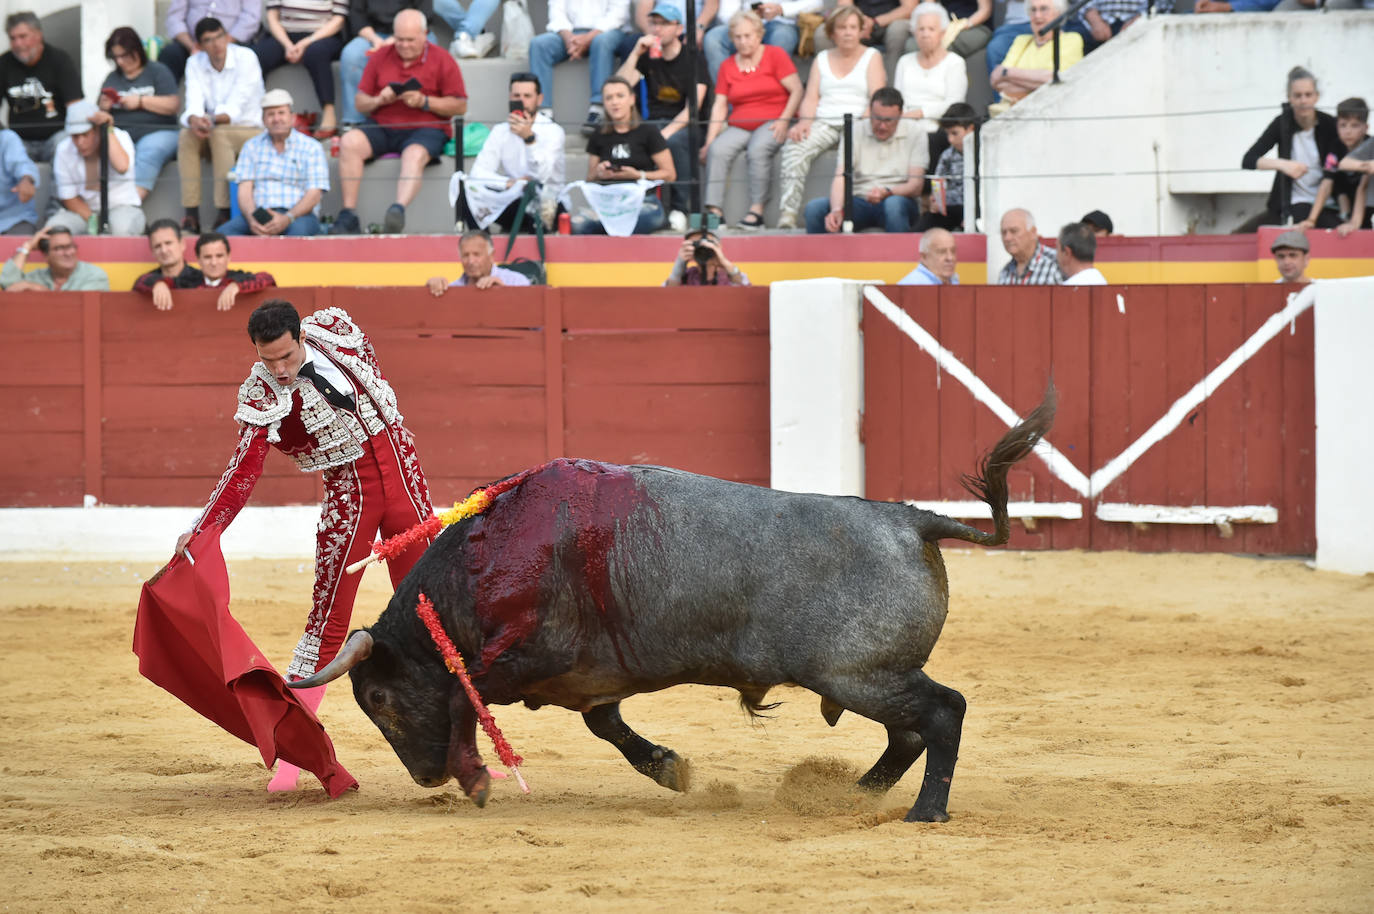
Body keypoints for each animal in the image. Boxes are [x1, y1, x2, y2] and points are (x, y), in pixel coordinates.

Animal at [295, 384, 1055, 819]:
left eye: (380, 700)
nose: (426, 777)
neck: (491, 553)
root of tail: (911, 520)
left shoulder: (529, 653)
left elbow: (461, 694)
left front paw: (476, 777)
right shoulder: (590, 678)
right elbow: (604, 724)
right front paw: (668, 768)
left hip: (858, 673)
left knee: (942, 713)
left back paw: (924, 812)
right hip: (866, 677)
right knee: (910, 732)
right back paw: (849, 795)